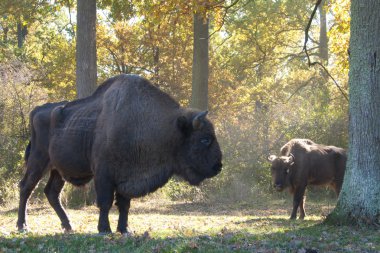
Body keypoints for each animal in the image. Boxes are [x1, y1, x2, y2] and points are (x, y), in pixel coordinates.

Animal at [17, 74, 223, 233]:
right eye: (205, 139)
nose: (218, 166)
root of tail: (36, 110)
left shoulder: (128, 176)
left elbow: (124, 205)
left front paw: (124, 229)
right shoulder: (104, 174)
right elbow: (105, 202)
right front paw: (104, 229)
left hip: (57, 169)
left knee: (51, 192)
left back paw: (68, 226)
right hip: (38, 161)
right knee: (26, 187)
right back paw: (23, 226)